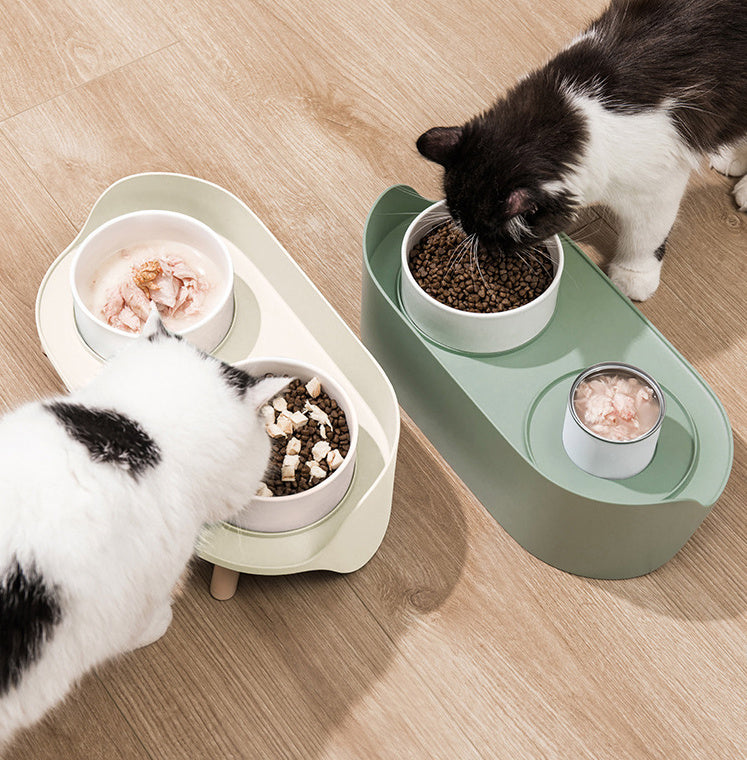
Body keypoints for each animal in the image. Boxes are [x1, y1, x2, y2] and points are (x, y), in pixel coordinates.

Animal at [418, 0, 744, 302]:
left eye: (491, 239)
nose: (491, 255)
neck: (568, 119)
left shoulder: (658, 185)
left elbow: (644, 237)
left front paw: (633, 277)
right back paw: (733, 159)